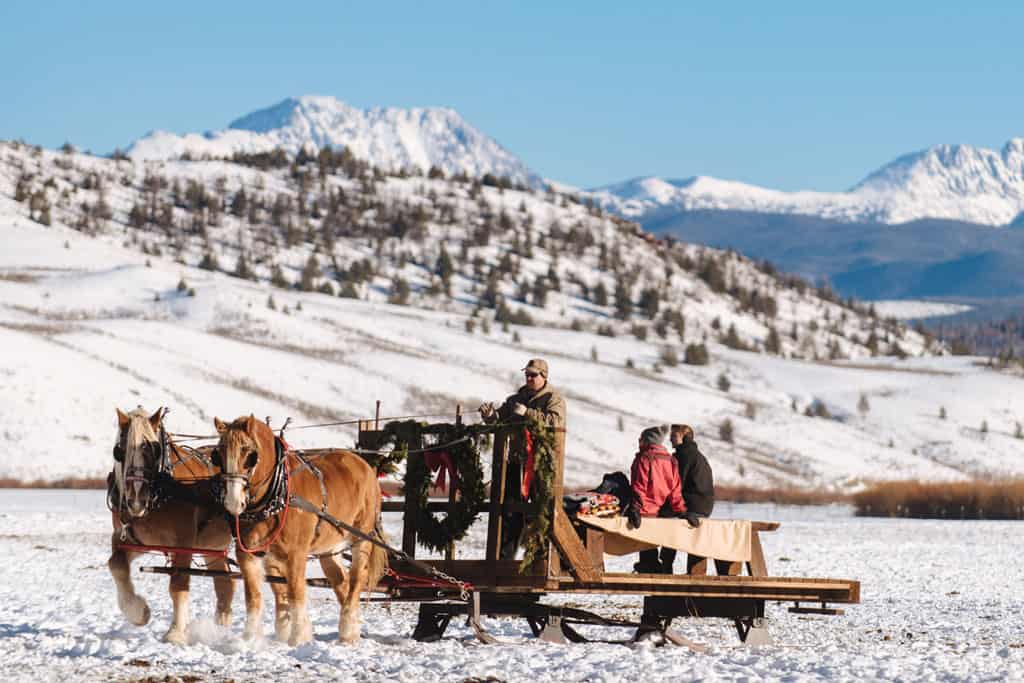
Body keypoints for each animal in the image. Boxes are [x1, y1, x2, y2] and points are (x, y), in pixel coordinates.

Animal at [108, 409, 235, 643]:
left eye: (155, 449)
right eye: (119, 451)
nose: (137, 499)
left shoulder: (183, 543)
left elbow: (178, 584)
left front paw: (175, 633)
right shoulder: (130, 539)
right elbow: (116, 565)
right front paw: (138, 612)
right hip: (212, 546)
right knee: (225, 583)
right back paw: (220, 628)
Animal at [209, 417, 385, 647]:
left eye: (249, 453)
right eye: (218, 454)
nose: (232, 501)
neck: (277, 497)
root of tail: (364, 465)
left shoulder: (296, 554)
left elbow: (295, 592)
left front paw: (298, 637)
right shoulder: (250, 554)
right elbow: (254, 596)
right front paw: (251, 638)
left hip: (361, 538)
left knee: (357, 579)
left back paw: (347, 631)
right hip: (329, 548)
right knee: (341, 580)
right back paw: (351, 631)